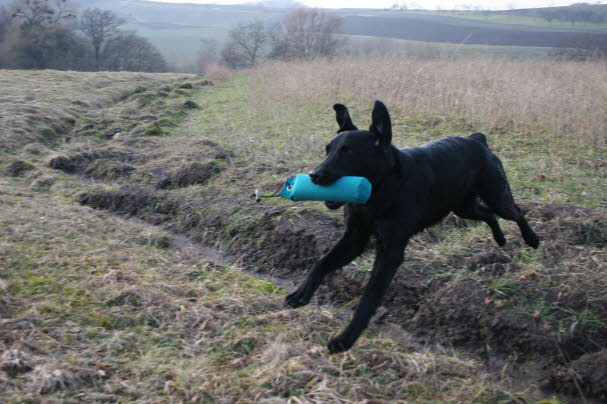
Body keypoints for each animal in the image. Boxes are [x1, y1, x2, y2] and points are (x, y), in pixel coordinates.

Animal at [286, 99, 540, 352]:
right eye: (328, 150)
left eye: (348, 152)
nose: (314, 175)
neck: (381, 190)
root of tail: (477, 139)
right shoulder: (354, 238)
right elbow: (320, 263)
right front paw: (300, 295)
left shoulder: (390, 252)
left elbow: (369, 297)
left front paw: (346, 339)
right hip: (463, 207)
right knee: (489, 215)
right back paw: (500, 239)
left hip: (497, 196)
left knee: (516, 213)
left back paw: (532, 239)